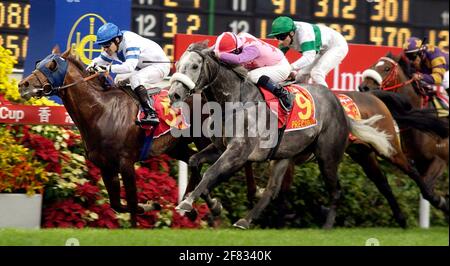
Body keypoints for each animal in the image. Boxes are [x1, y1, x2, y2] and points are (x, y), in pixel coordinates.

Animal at [17, 47, 229, 227]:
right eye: (38, 63)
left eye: (51, 66)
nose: (23, 85)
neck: (101, 111)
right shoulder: (106, 166)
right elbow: (117, 204)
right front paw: (151, 205)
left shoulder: (126, 163)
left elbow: (133, 203)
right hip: (175, 146)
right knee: (195, 163)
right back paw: (195, 206)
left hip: (204, 140)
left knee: (210, 163)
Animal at [360, 53, 448, 214]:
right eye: (373, 64)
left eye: (387, 68)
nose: (363, 87)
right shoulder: (420, 161)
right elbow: (426, 190)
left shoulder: (440, 160)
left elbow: (427, 191)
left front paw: (443, 202)